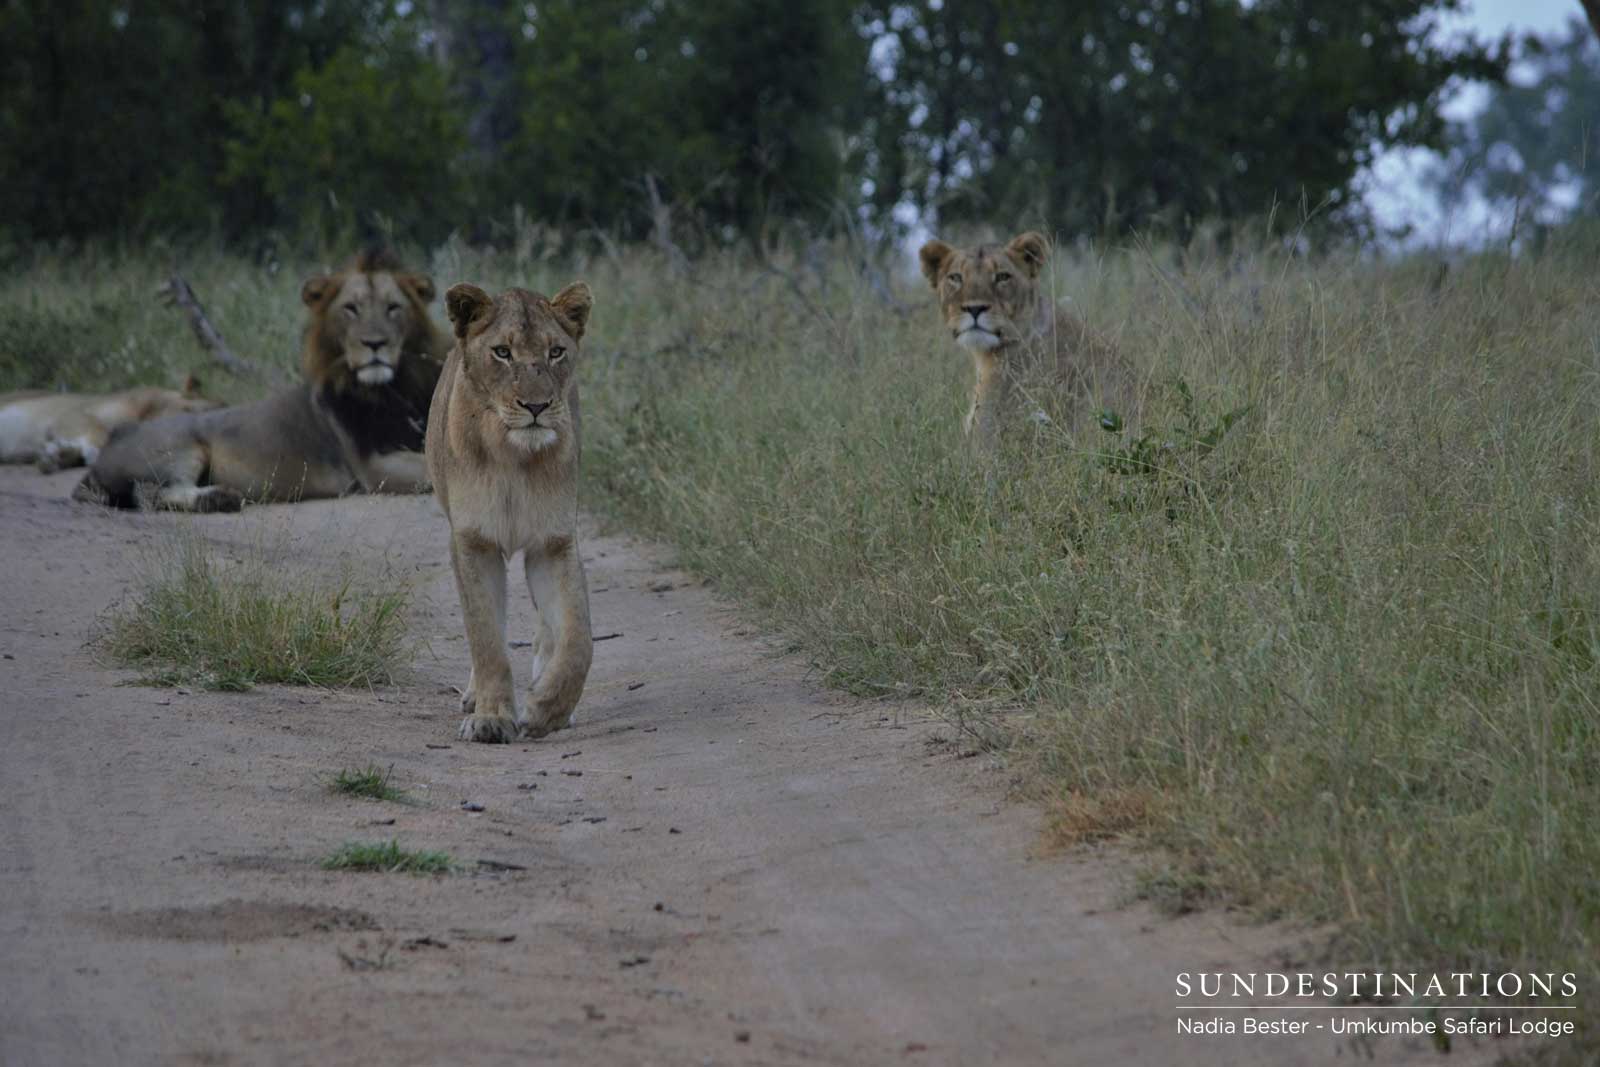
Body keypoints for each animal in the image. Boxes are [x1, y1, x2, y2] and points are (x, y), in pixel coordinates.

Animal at [74, 250, 448, 512]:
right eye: (351, 309)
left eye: (393, 308)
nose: (375, 344)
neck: (394, 389)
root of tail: (111, 440)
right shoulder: (372, 467)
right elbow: (431, 470)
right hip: (180, 447)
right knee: (155, 494)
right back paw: (218, 499)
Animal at [425, 281, 595, 744]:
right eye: (502, 352)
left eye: (555, 352)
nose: (536, 406)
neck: (514, 457)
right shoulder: (473, 541)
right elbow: (486, 637)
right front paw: (492, 717)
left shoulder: (554, 543)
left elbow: (578, 639)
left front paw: (547, 709)